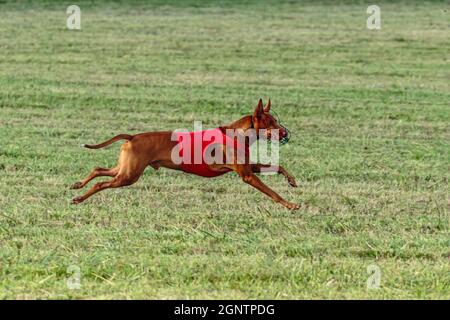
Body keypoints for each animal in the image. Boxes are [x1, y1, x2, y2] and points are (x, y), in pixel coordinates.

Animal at [71, 100, 298, 210]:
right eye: (271, 123)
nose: (286, 133)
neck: (239, 134)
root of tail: (133, 136)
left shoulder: (249, 167)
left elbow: (278, 167)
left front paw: (292, 180)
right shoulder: (247, 175)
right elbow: (272, 193)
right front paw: (290, 204)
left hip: (125, 169)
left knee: (98, 169)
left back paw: (78, 185)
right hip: (129, 175)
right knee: (102, 183)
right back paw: (79, 198)